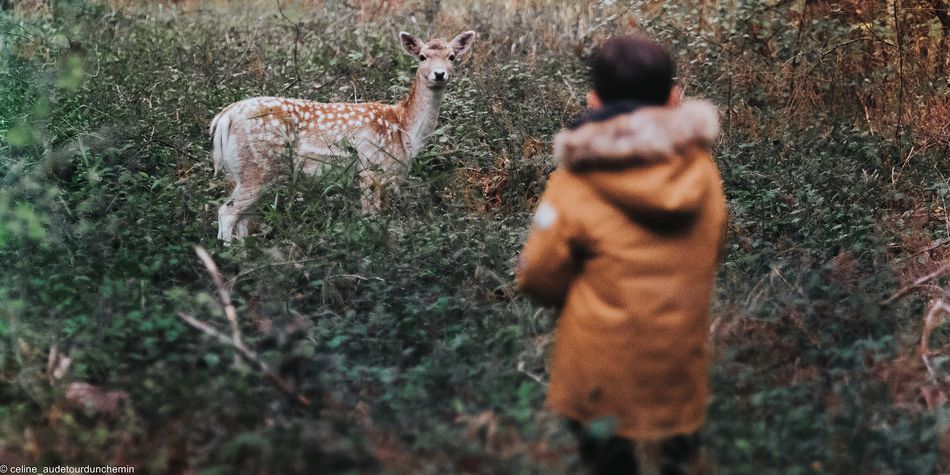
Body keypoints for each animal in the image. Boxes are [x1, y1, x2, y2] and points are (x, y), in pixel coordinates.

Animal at [209, 30, 476, 242]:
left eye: (452, 57)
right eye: (422, 57)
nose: (439, 74)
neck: (403, 128)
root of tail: (223, 119)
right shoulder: (370, 166)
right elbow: (371, 216)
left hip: (246, 171)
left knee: (244, 219)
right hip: (255, 166)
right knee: (226, 212)